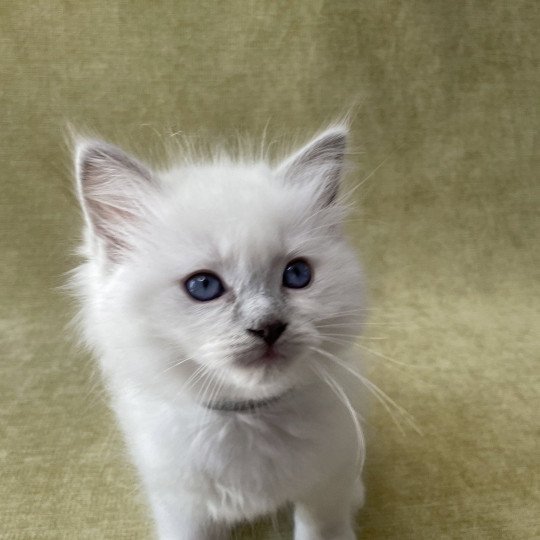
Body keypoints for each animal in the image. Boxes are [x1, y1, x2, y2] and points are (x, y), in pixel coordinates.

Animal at [71, 124, 364, 536]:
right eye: (204, 286)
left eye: (297, 275)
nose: (268, 327)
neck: (246, 416)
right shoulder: (182, 506)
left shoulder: (326, 483)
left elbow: (323, 528)